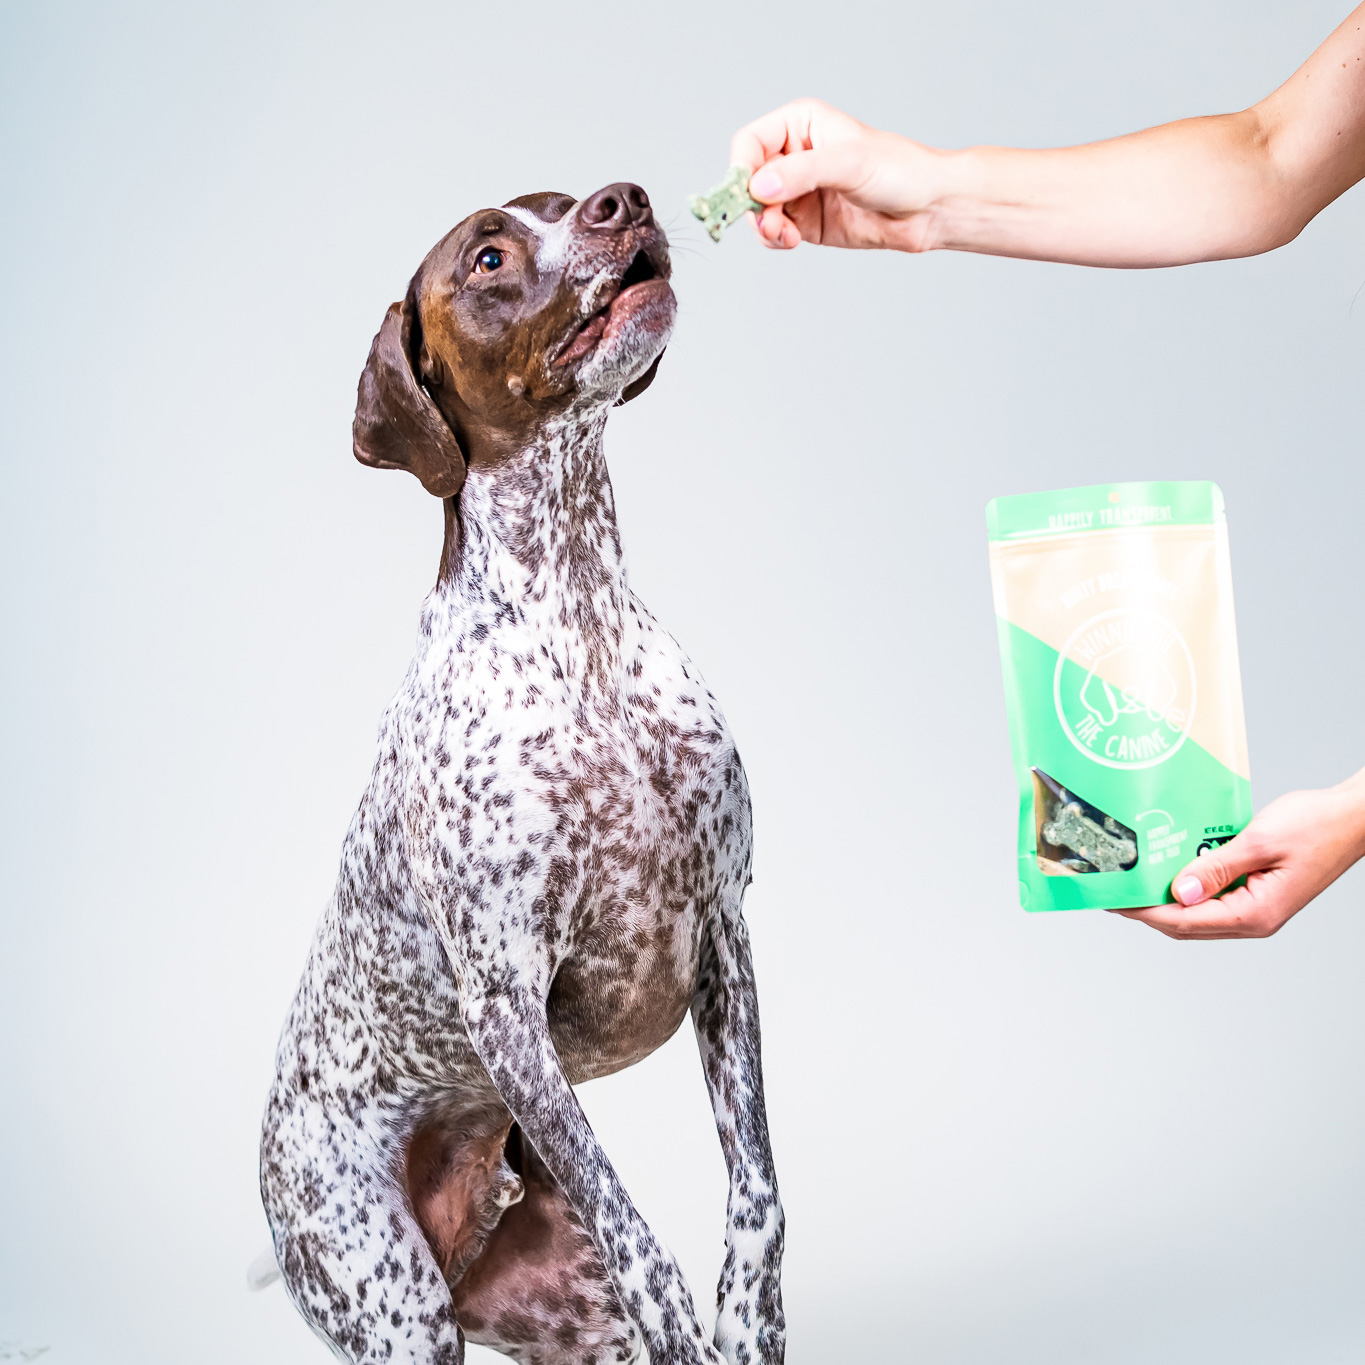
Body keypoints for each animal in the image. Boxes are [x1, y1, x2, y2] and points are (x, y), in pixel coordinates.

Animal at [259, 184, 786, 1365]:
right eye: (490, 258)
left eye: (561, 201)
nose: (622, 200)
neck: (576, 612)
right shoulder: (505, 1002)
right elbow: (643, 1246)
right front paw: (693, 1319)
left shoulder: (721, 936)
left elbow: (758, 1198)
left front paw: (748, 1313)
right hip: (393, 1304)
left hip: (561, 1302)